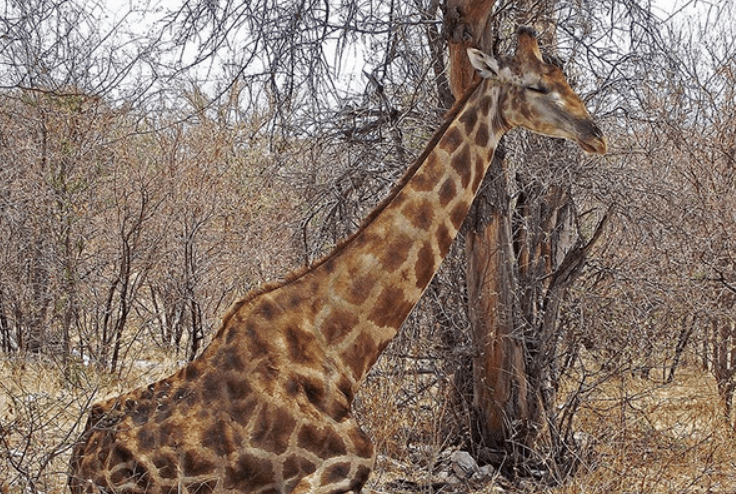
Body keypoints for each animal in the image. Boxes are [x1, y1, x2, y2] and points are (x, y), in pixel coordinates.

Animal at [67, 26, 604, 494]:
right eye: (535, 85)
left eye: (566, 79)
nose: (595, 133)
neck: (338, 352)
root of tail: (78, 467)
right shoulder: (336, 469)